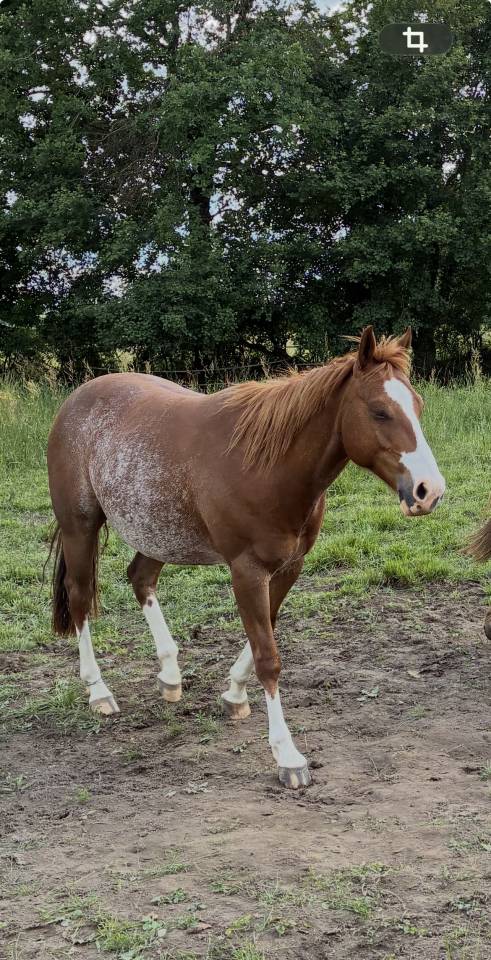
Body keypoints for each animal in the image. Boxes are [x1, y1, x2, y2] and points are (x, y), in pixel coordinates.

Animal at [47, 326, 445, 789]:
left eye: (417, 405)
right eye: (380, 411)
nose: (429, 491)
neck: (267, 466)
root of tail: (76, 400)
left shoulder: (289, 567)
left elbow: (262, 636)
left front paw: (233, 693)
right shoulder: (247, 571)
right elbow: (268, 658)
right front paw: (288, 756)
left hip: (158, 534)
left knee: (140, 578)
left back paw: (170, 674)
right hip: (80, 527)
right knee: (80, 596)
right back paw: (98, 690)